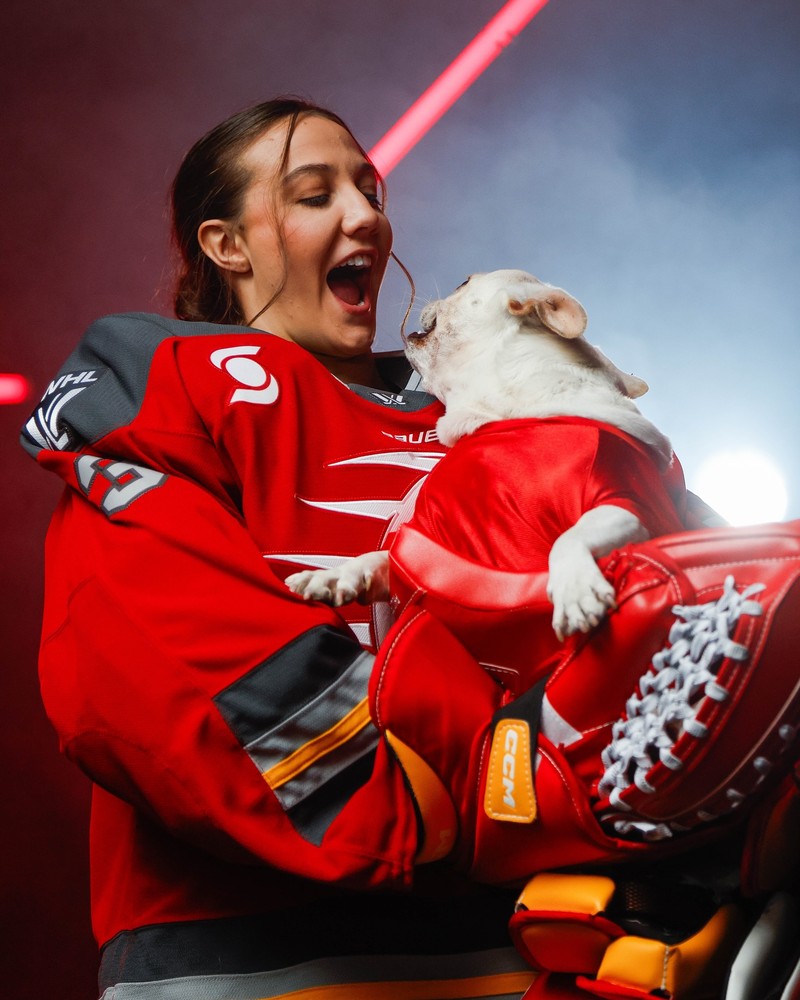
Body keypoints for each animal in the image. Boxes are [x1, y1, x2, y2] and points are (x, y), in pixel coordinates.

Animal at [287, 270, 686, 640]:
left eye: (463, 283)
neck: (505, 411)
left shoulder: (629, 504)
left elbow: (569, 537)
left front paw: (574, 587)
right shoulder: (430, 555)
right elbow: (382, 557)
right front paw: (336, 574)